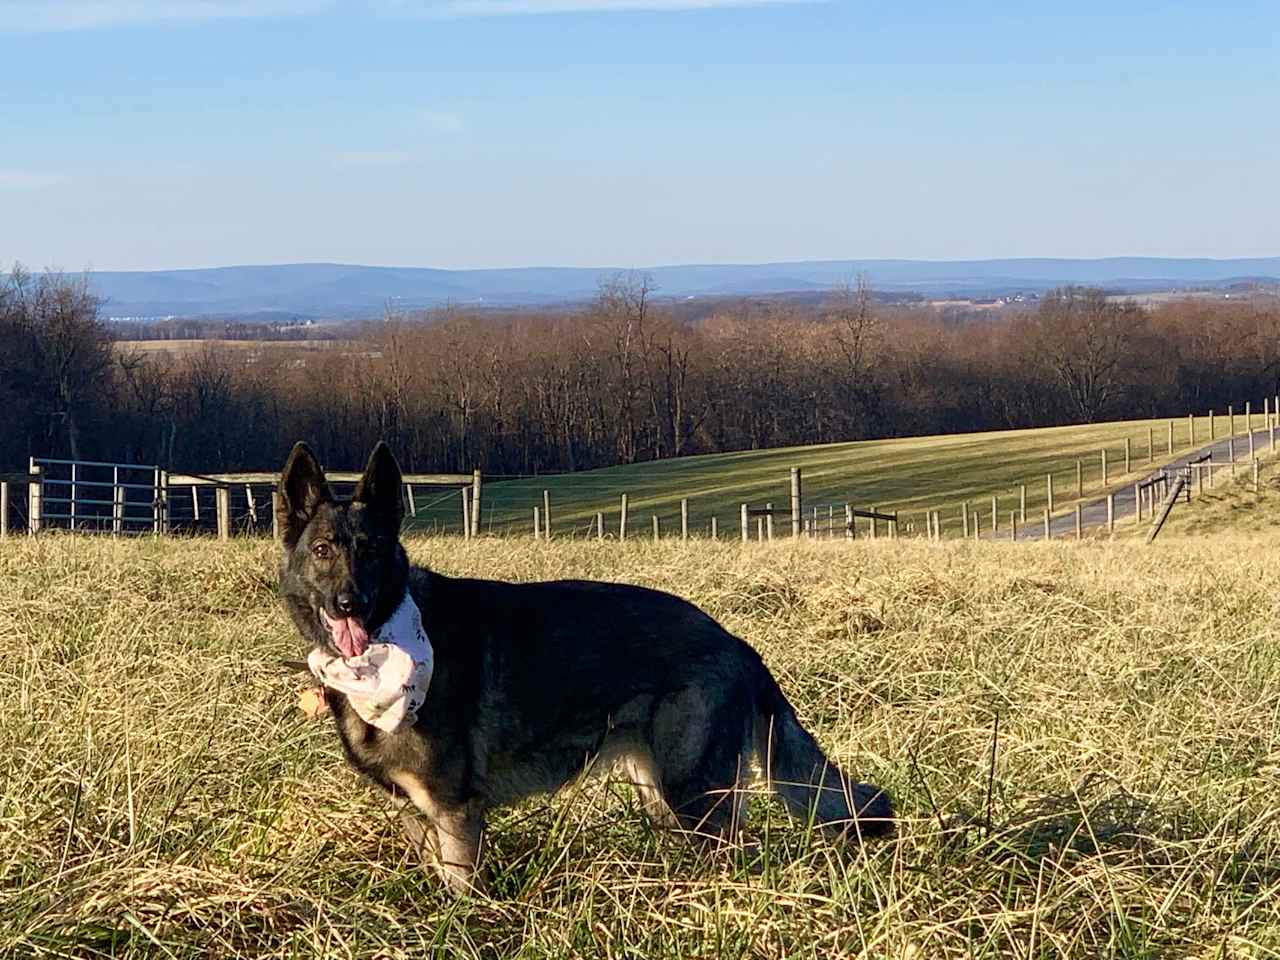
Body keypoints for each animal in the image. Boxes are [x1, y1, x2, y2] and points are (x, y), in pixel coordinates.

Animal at [275, 442, 890, 896]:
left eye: (373, 550)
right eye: (324, 550)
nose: (350, 604)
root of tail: (734, 640)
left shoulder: (455, 814)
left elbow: (461, 894)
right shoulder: (415, 812)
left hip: (692, 793)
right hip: (659, 790)